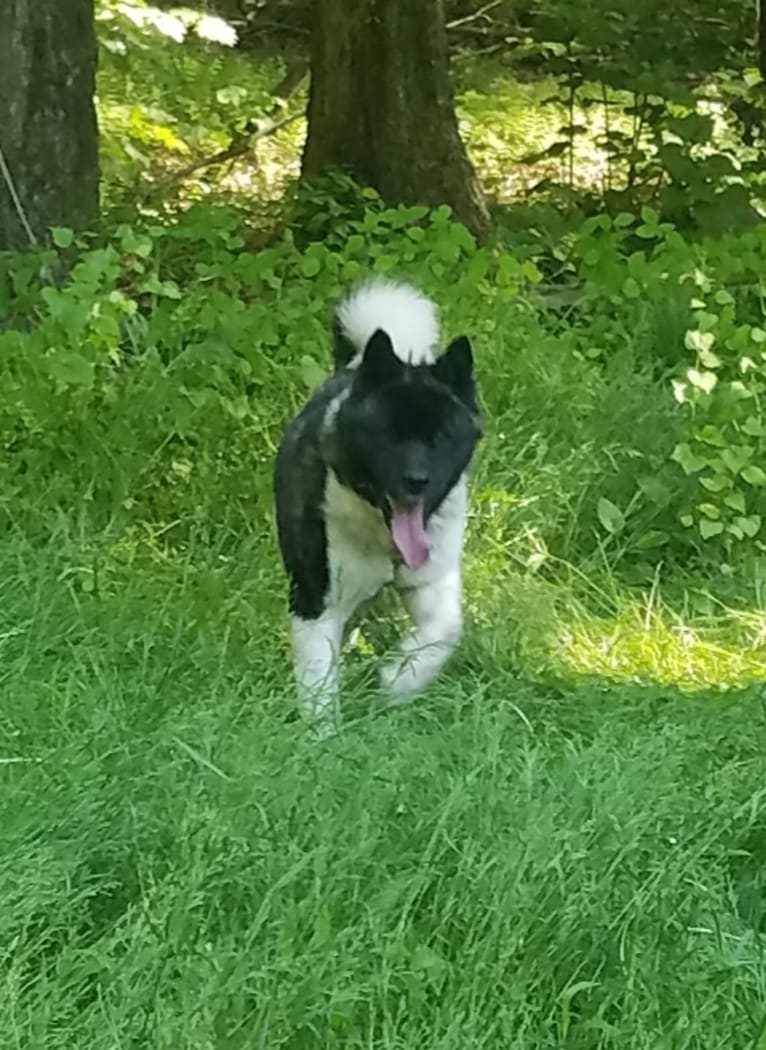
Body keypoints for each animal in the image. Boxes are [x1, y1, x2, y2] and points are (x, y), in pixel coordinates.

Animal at [270, 279, 480, 730]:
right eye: (388, 435)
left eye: (442, 437)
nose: (416, 481)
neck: (384, 540)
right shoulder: (317, 600)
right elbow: (318, 680)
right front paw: (322, 737)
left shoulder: (432, 582)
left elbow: (444, 631)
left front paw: (398, 680)